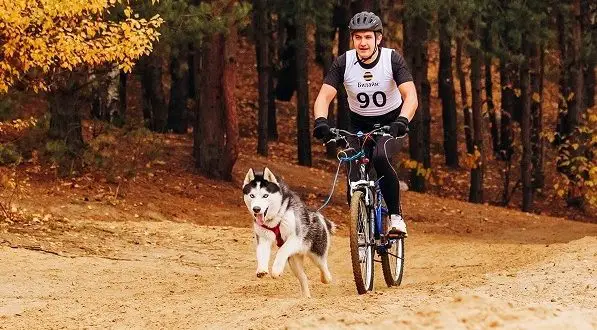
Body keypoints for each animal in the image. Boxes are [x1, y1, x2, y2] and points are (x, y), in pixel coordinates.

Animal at [243, 166, 336, 298]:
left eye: (265, 195)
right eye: (252, 195)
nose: (256, 209)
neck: (276, 217)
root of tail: (317, 215)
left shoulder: (295, 238)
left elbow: (281, 251)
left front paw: (276, 270)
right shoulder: (263, 239)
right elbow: (262, 253)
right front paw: (261, 269)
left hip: (316, 253)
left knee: (323, 266)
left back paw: (326, 278)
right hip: (294, 261)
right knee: (303, 277)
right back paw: (306, 297)